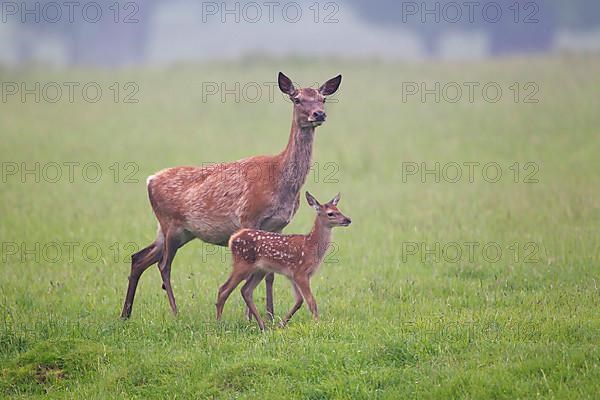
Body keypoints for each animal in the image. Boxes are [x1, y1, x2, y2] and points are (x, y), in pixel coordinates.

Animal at [120, 72, 342, 320]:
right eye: (297, 99)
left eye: (323, 98)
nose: (319, 114)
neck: (280, 179)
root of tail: (150, 180)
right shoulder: (248, 216)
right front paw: (249, 318)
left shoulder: (279, 225)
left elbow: (270, 274)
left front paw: (270, 315)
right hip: (170, 224)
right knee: (163, 265)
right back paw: (175, 312)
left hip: (180, 231)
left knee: (139, 257)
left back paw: (125, 313)